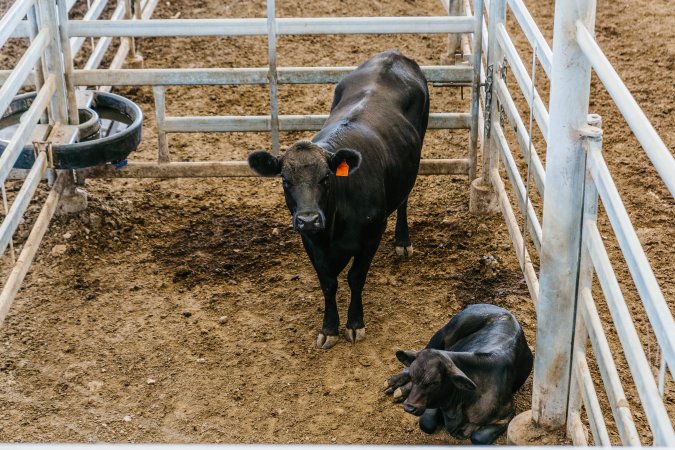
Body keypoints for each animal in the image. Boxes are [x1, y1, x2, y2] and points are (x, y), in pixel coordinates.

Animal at [247, 51, 428, 350]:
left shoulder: (371, 236)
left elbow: (355, 277)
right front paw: (329, 328)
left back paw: (403, 241)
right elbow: (328, 283)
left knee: (404, 199)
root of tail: (392, 55)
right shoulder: (311, 242)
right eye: (285, 180)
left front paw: (354, 324)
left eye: (326, 178)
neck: (335, 224)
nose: (309, 219)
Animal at [386, 304, 532, 444]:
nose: (409, 407)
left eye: (435, 382)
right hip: (445, 332)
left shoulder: (508, 415)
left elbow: (478, 438)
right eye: (413, 376)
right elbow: (426, 424)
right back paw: (394, 383)